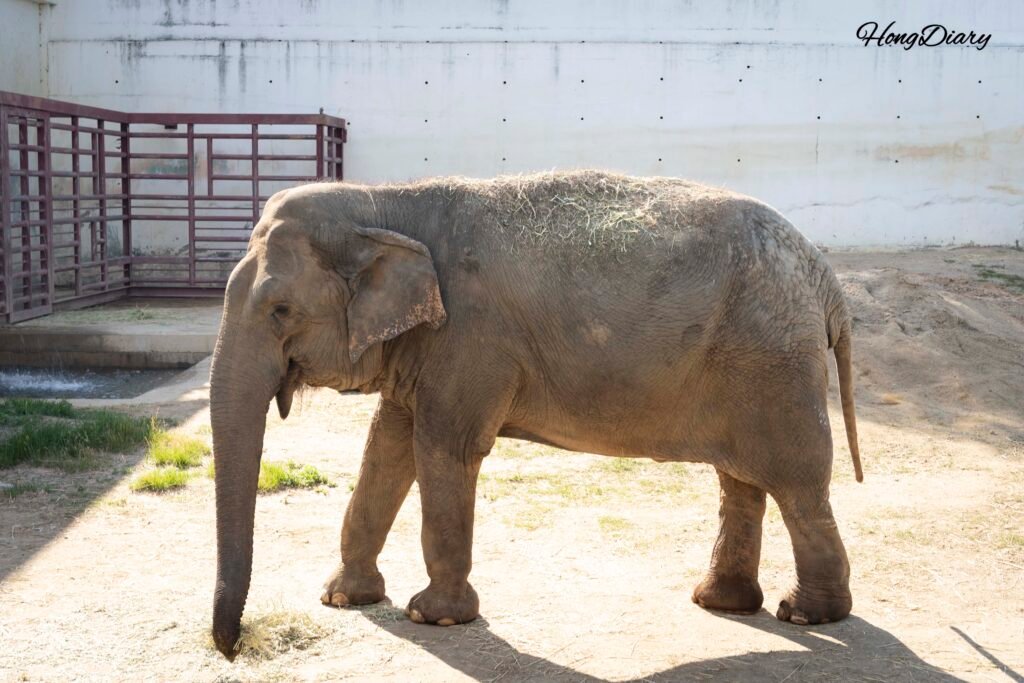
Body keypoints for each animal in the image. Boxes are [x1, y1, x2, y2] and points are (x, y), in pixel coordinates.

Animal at [209, 170, 862, 659]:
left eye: (280, 309)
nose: (232, 646)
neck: (387, 200)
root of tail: (825, 277)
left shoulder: (470, 339)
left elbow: (444, 448)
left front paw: (434, 618)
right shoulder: (428, 346)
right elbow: (386, 445)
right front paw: (344, 599)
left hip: (774, 365)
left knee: (799, 485)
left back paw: (805, 615)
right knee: (741, 481)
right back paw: (722, 602)